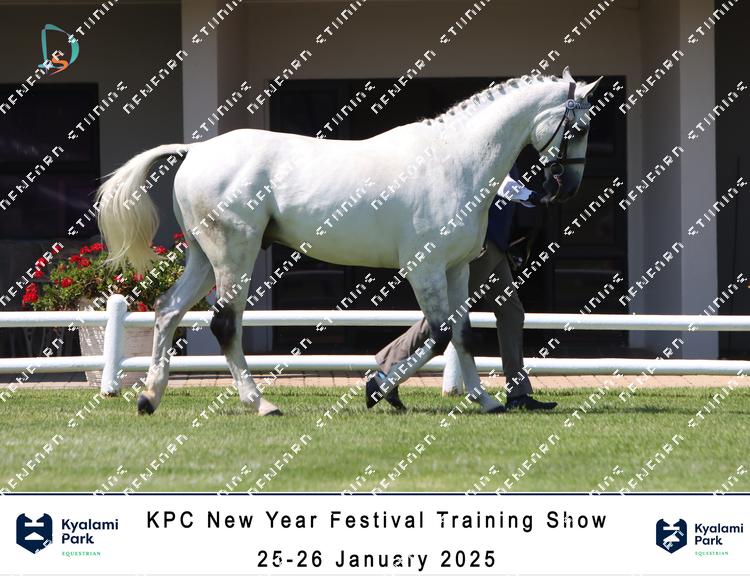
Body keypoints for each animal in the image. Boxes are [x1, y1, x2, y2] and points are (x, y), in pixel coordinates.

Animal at [96, 67, 601, 416]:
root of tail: (197, 150)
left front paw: (485, 400)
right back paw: (260, 403)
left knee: (167, 311)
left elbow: (462, 333)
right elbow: (438, 334)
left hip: (203, 258)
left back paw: (149, 398)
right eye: (578, 129)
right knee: (224, 325)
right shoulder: (424, 268)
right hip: (232, 257)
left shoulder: (456, 268)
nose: (567, 188)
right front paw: (378, 390)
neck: (453, 162)